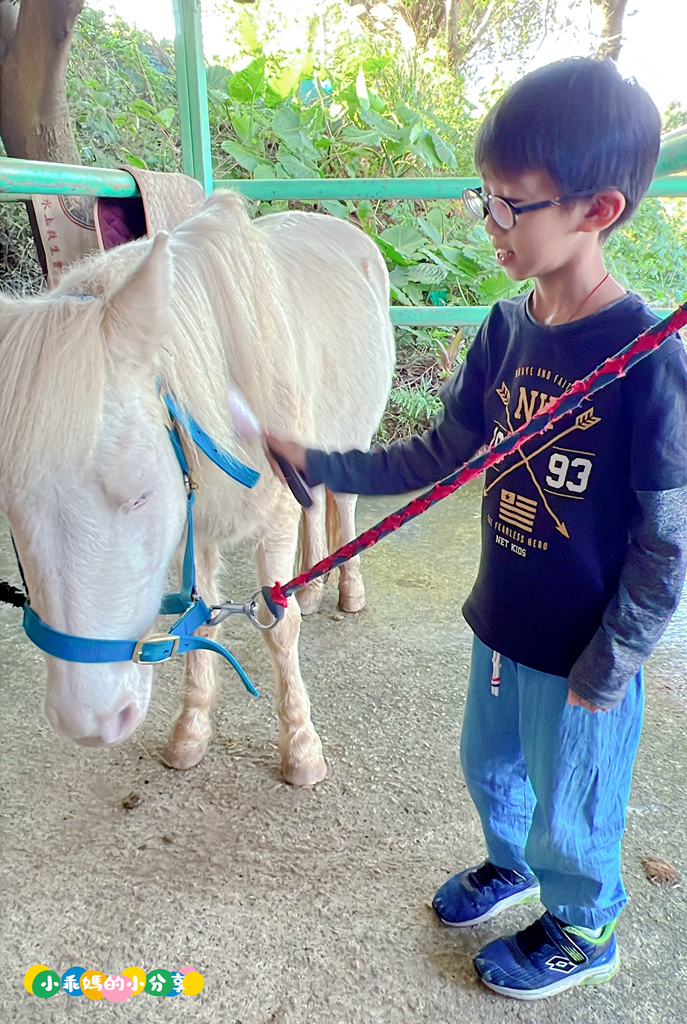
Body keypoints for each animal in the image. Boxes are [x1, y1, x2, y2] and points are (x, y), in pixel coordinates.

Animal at [0, 190, 395, 786]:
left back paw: (346, 591)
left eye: (139, 494)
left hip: (352, 432)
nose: (89, 722)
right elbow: (202, 618)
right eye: (11, 510)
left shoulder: (270, 520)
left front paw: (301, 750)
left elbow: (279, 628)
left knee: (342, 504)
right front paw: (190, 732)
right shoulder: (197, 525)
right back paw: (312, 584)